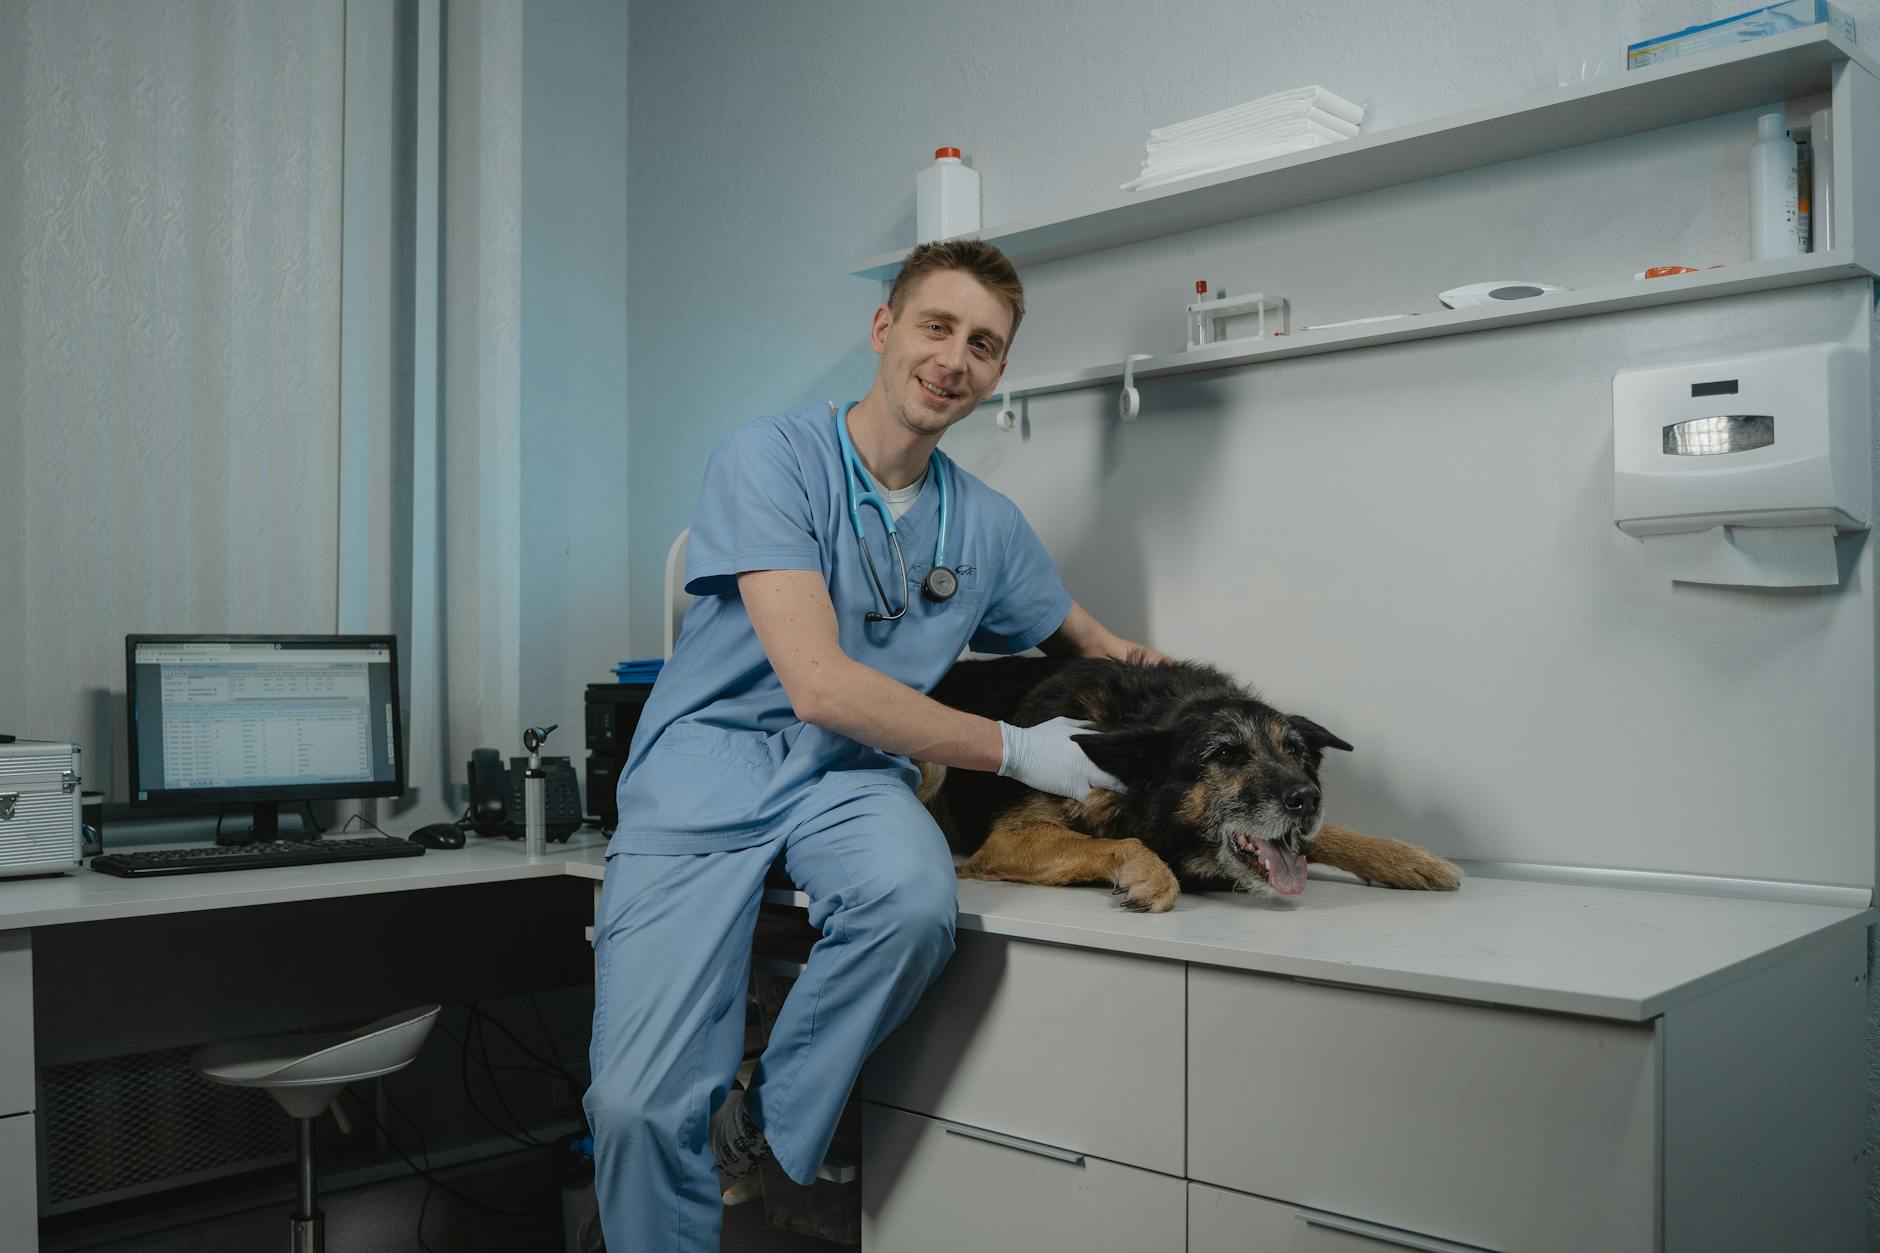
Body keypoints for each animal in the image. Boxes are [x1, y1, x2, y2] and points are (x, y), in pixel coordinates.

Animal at [917, 654, 1458, 906]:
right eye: (1225, 754)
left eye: (1297, 752)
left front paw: (1407, 858)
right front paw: (1153, 875)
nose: (1309, 798)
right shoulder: (1010, 839)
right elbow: (1126, 842)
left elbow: (1328, 836)